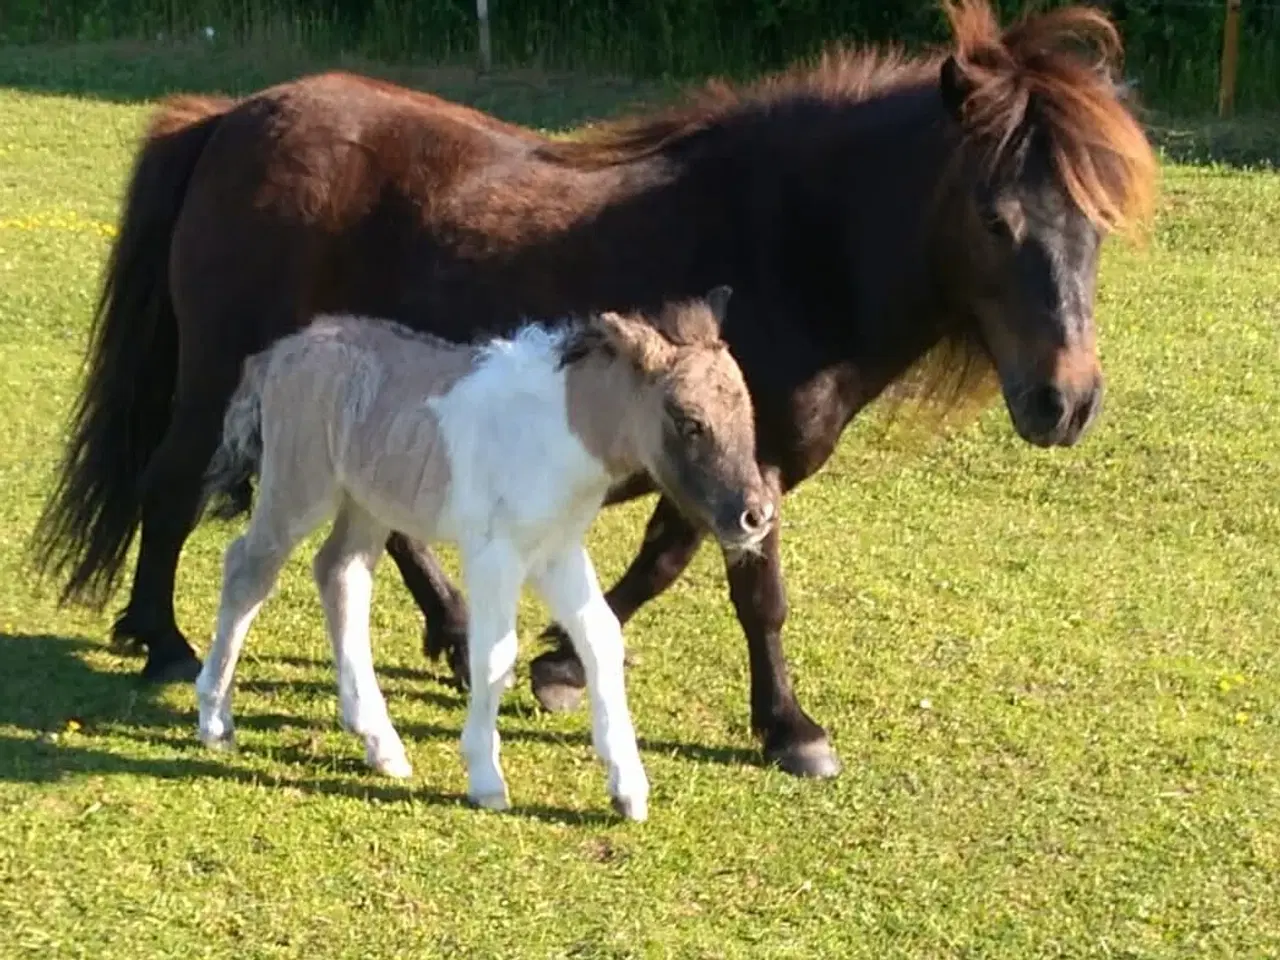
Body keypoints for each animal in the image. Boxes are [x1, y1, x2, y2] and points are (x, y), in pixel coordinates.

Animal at [35, 1, 1162, 783]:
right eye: (994, 219)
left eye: (1095, 222)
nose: (1064, 402)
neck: (789, 245)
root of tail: (229, 118)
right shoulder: (739, 456)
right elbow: (750, 590)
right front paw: (782, 729)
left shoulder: (723, 464)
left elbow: (667, 563)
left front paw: (552, 665)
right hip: (222, 374)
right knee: (171, 482)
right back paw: (163, 642)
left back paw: (452, 636)